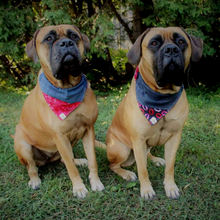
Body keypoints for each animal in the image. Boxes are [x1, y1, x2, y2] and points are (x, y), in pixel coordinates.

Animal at [12, 24, 105, 199]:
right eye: (49, 38)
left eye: (74, 36)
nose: (66, 43)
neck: (67, 89)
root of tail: (47, 159)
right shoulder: (60, 137)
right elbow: (70, 167)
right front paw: (79, 188)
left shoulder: (88, 130)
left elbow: (92, 160)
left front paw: (95, 182)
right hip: (23, 145)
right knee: (31, 166)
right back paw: (34, 180)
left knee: (64, 159)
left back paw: (79, 160)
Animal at [105, 27, 204, 199]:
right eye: (154, 43)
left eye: (181, 41)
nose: (171, 49)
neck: (160, 96)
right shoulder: (138, 139)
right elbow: (142, 169)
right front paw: (146, 190)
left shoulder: (174, 137)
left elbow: (170, 166)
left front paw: (170, 187)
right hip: (122, 149)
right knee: (114, 165)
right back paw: (126, 173)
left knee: (146, 154)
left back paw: (155, 159)